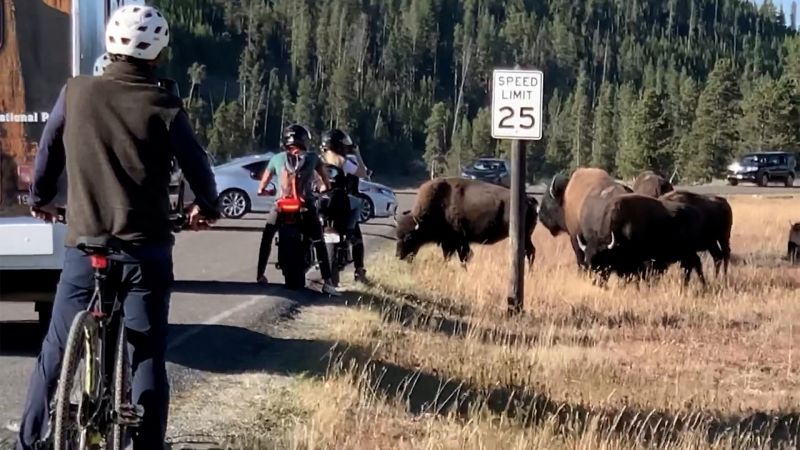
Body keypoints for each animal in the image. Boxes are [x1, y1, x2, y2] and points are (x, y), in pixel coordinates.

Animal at [396, 177, 536, 268]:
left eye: (409, 237)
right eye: (397, 235)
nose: (399, 255)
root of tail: (529, 199)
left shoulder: (459, 241)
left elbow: (463, 257)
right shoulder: (449, 242)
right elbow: (449, 257)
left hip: (524, 236)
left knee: (530, 253)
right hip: (527, 237)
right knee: (530, 252)